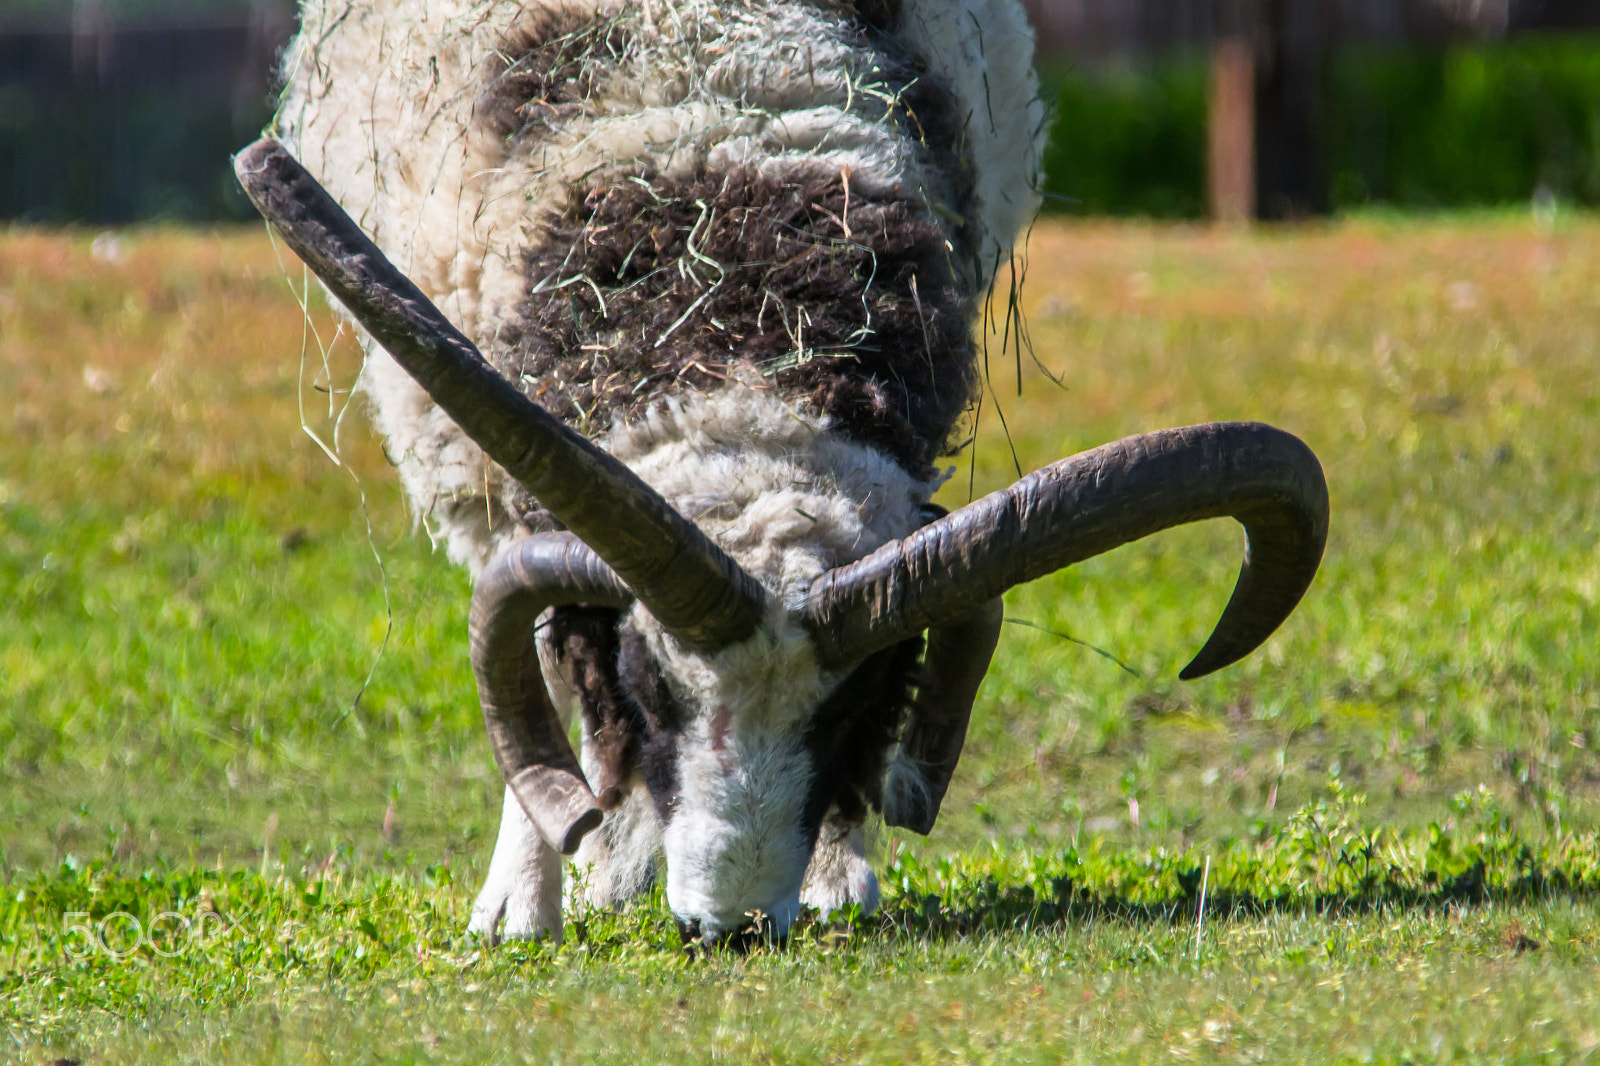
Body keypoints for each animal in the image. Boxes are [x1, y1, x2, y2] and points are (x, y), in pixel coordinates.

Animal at [236, 0, 1328, 946]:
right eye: (650, 693)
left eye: (849, 707)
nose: (730, 927)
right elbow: (542, 657)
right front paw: (525, 903)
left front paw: (838, 870)